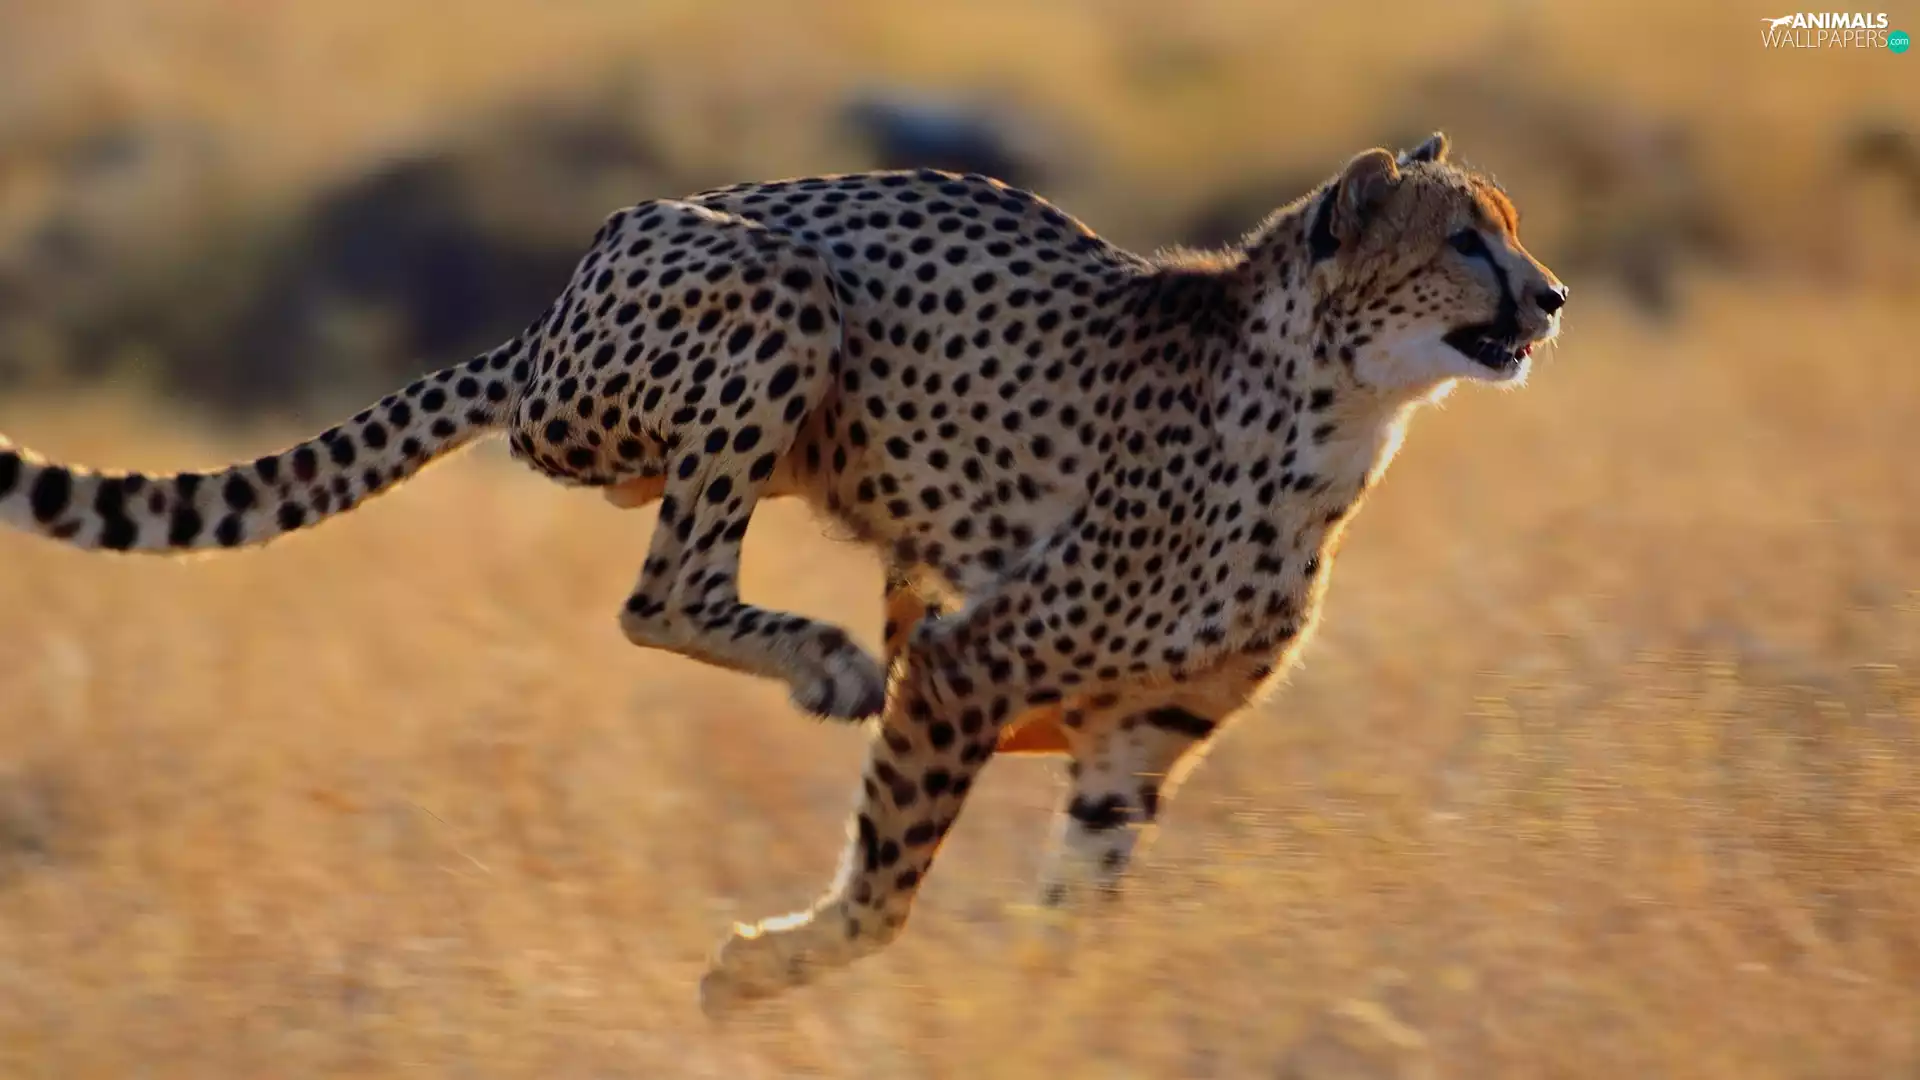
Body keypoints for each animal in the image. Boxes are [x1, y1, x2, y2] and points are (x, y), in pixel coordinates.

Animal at [0, 131, 1568, 1016]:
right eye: (1463, 238)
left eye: (1508, 223)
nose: (1550, 296)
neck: (1334, 414)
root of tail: (551, 312)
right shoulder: (974, 666)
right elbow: (885, 888)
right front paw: (759, 972)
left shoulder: (1141, 736)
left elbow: (1076, 908)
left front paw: (1052, 1015)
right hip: (768, 298)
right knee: (660, 590)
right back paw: (822, 660)